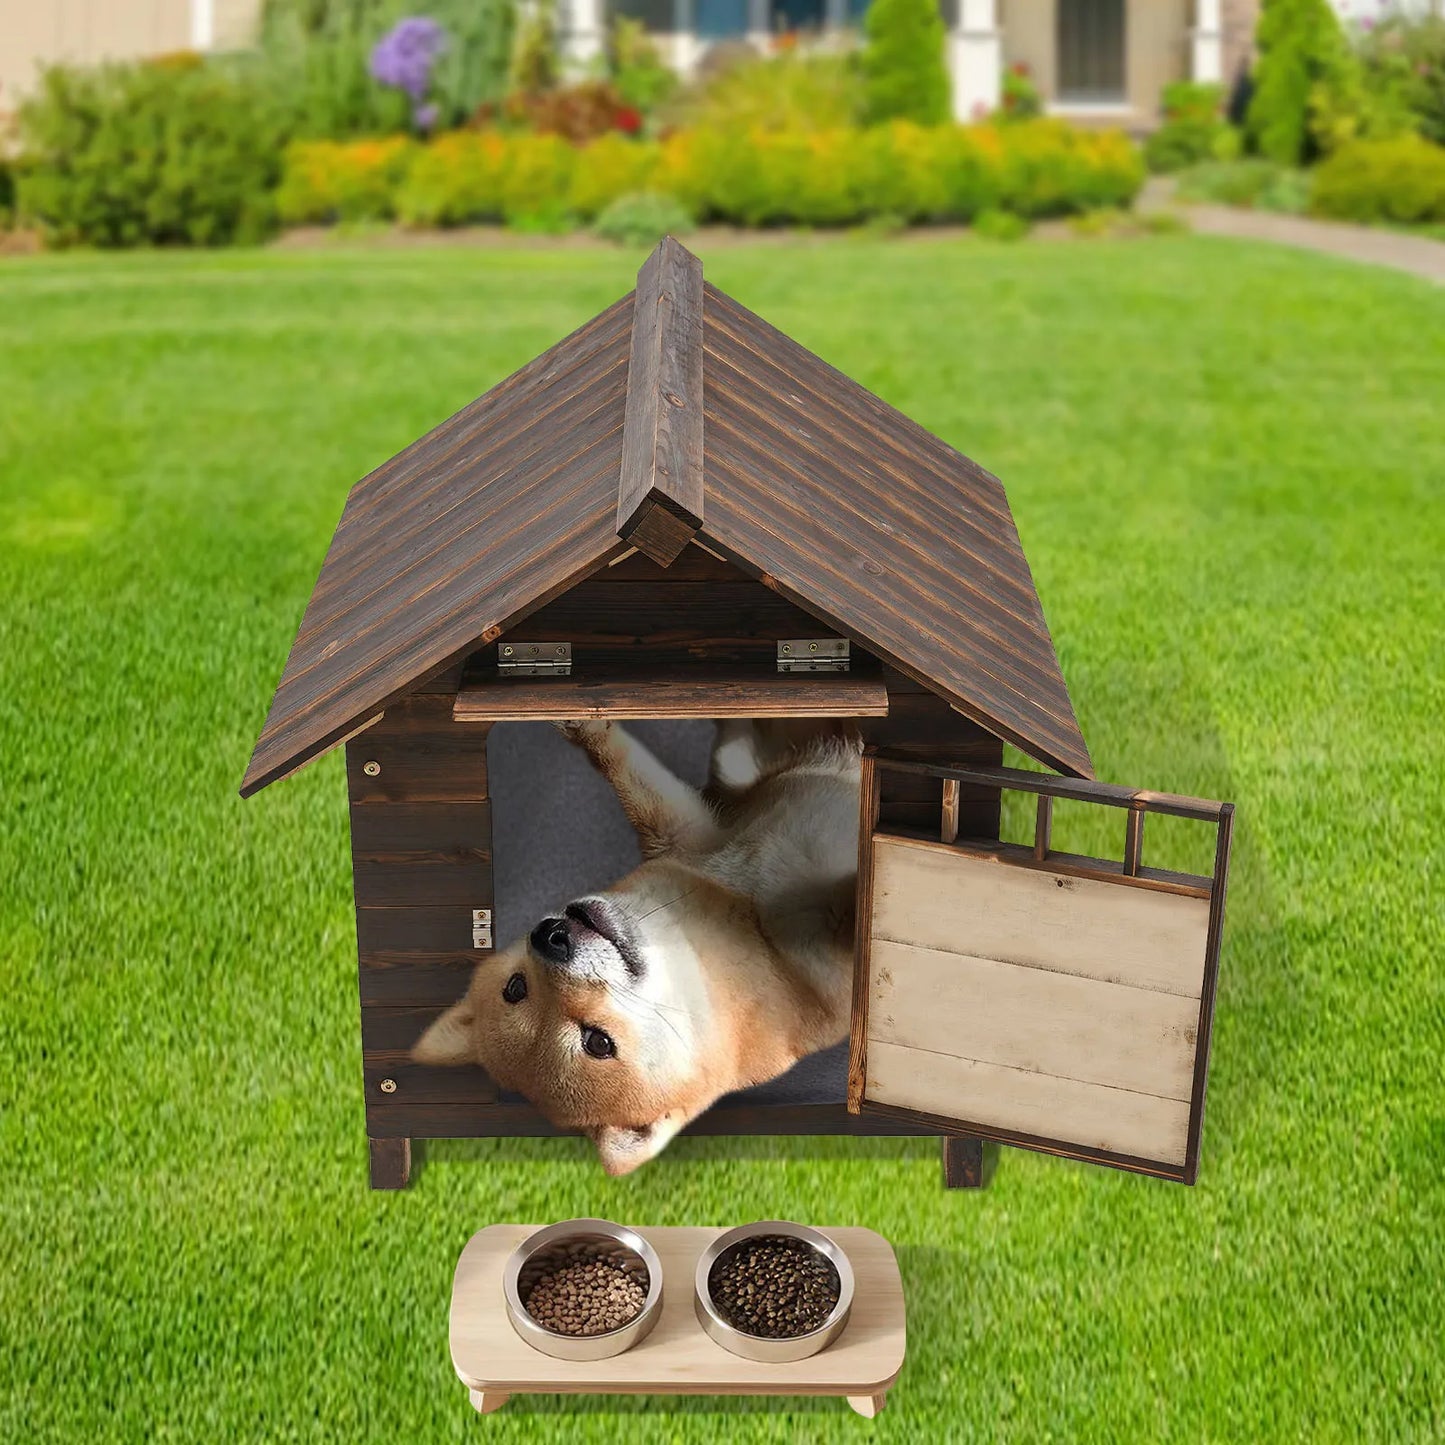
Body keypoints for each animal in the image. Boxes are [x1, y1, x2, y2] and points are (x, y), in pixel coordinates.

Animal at [410, 716, 855, 1179]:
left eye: (515, 987)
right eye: (597, 1043)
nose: (552, 938)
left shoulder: (691, 833)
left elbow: (616, 764)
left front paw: (582, 722)